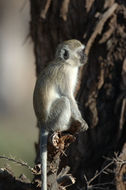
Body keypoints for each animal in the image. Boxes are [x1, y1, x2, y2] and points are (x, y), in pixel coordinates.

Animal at [33, 39, 88, 190]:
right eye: (80, 52)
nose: (85, 56)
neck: (66, 63)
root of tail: (42, 121)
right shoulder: (64, 74)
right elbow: (68, 96)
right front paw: (81, 120)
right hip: (52, 119)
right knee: (64, 101)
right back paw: (64, 127)